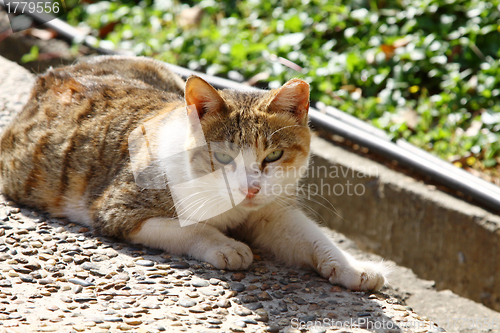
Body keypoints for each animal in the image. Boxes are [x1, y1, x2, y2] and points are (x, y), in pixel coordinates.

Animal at [0, 55, 386, 290]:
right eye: (223, 157)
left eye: (274, 155)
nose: (250, 189)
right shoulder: (119, 211)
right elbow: (191, 228)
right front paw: (225, 244)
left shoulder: (270, 211)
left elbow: (308, 233)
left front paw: (351, 265)